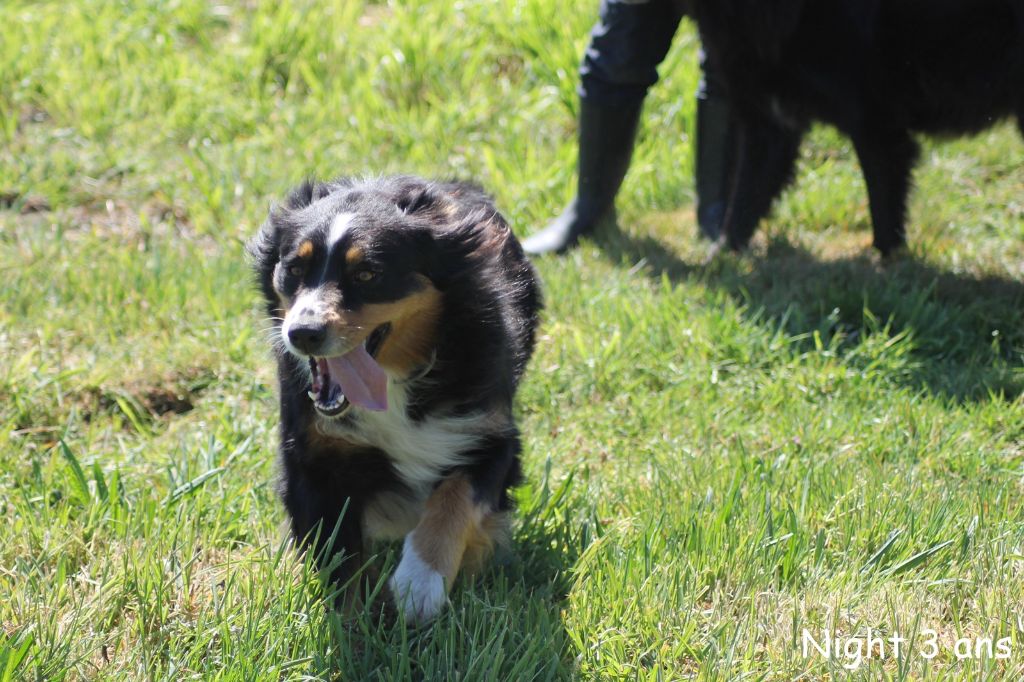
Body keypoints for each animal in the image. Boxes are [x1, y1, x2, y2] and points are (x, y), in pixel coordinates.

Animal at [688, 0, 1024, 254]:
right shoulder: (770, 120)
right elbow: (746, 198)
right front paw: (722, 257)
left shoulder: (875, 122)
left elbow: (883, 203)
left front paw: (888, 265)